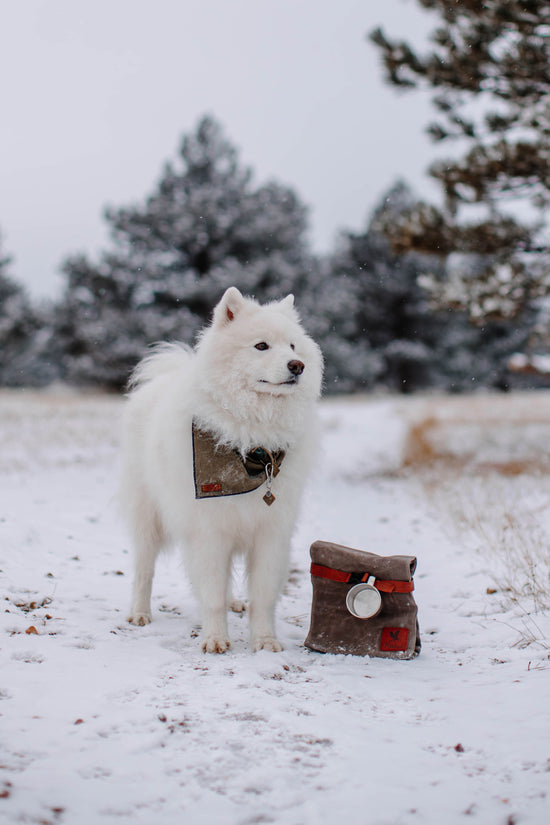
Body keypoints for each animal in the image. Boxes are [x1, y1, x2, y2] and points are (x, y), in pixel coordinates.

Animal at [121, 286, 324, 652]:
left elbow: (262, 596)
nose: (297, 366)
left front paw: (265, 641)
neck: (253, 447)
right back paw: (139, 613)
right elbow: (211, 593)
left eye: (292, 346)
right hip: (148, 516)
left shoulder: (270, 532)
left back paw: (234, 603)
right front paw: (215, 639)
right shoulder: (209, 530)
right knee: (144, 569)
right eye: (261, 346)